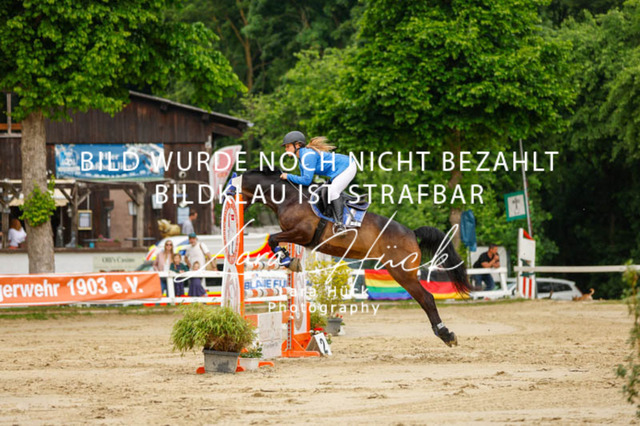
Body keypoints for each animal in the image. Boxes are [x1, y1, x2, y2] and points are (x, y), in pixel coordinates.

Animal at [232, 169, 470, 346]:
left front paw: (288, 260)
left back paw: (446, 335)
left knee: (426, 298)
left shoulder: (302, 233)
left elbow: (272, 238)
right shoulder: (297, 236)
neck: (289, 198)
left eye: (231, 190)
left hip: (402, 272)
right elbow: (274, 239)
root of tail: (412, 232)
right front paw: (289, 259)